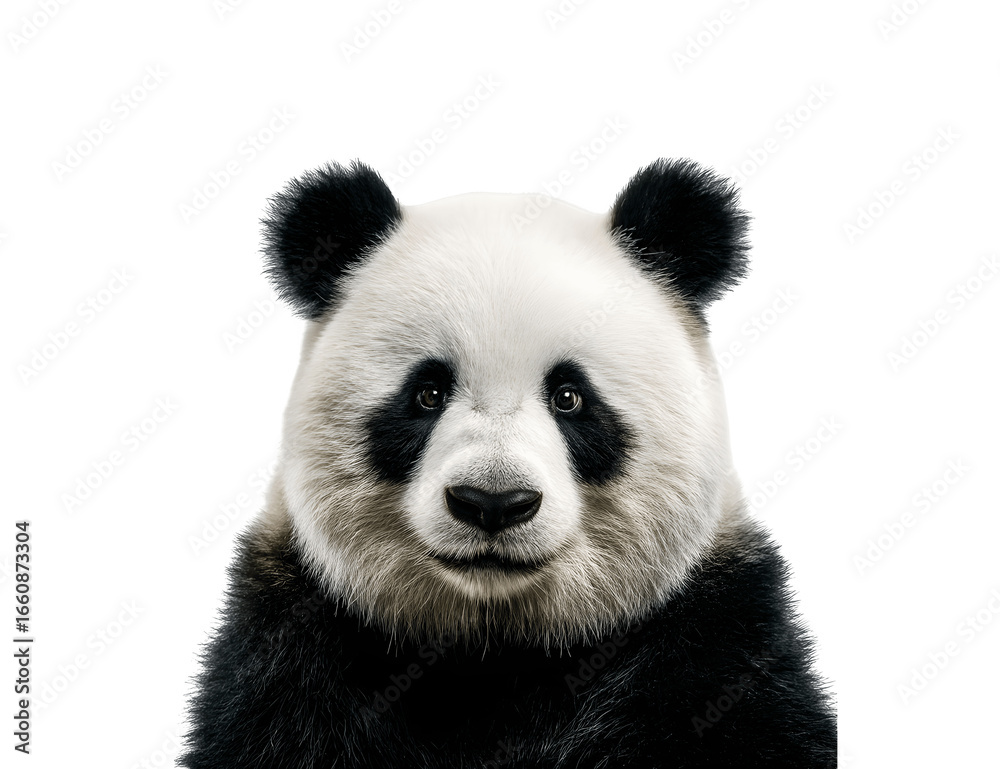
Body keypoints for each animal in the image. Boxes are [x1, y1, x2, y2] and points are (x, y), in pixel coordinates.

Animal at [181, 159, 836, 768]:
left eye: (570, 396)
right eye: (427, 393)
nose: (492, 503)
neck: (497, 650)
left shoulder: (716, 643)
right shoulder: (293, 651)